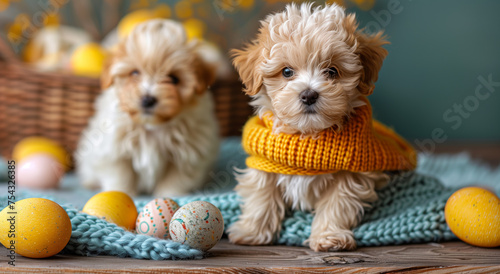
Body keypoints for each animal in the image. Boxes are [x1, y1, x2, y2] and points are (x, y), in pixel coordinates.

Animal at [75, 19, 219, 197]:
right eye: (134, 73)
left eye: (174, 79)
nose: (148, 100)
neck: (152, 126)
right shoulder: (113, 149)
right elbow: (121, 175)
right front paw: (122, 194)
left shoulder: (189, 155)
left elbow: (175, 180)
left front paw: (169, 196)